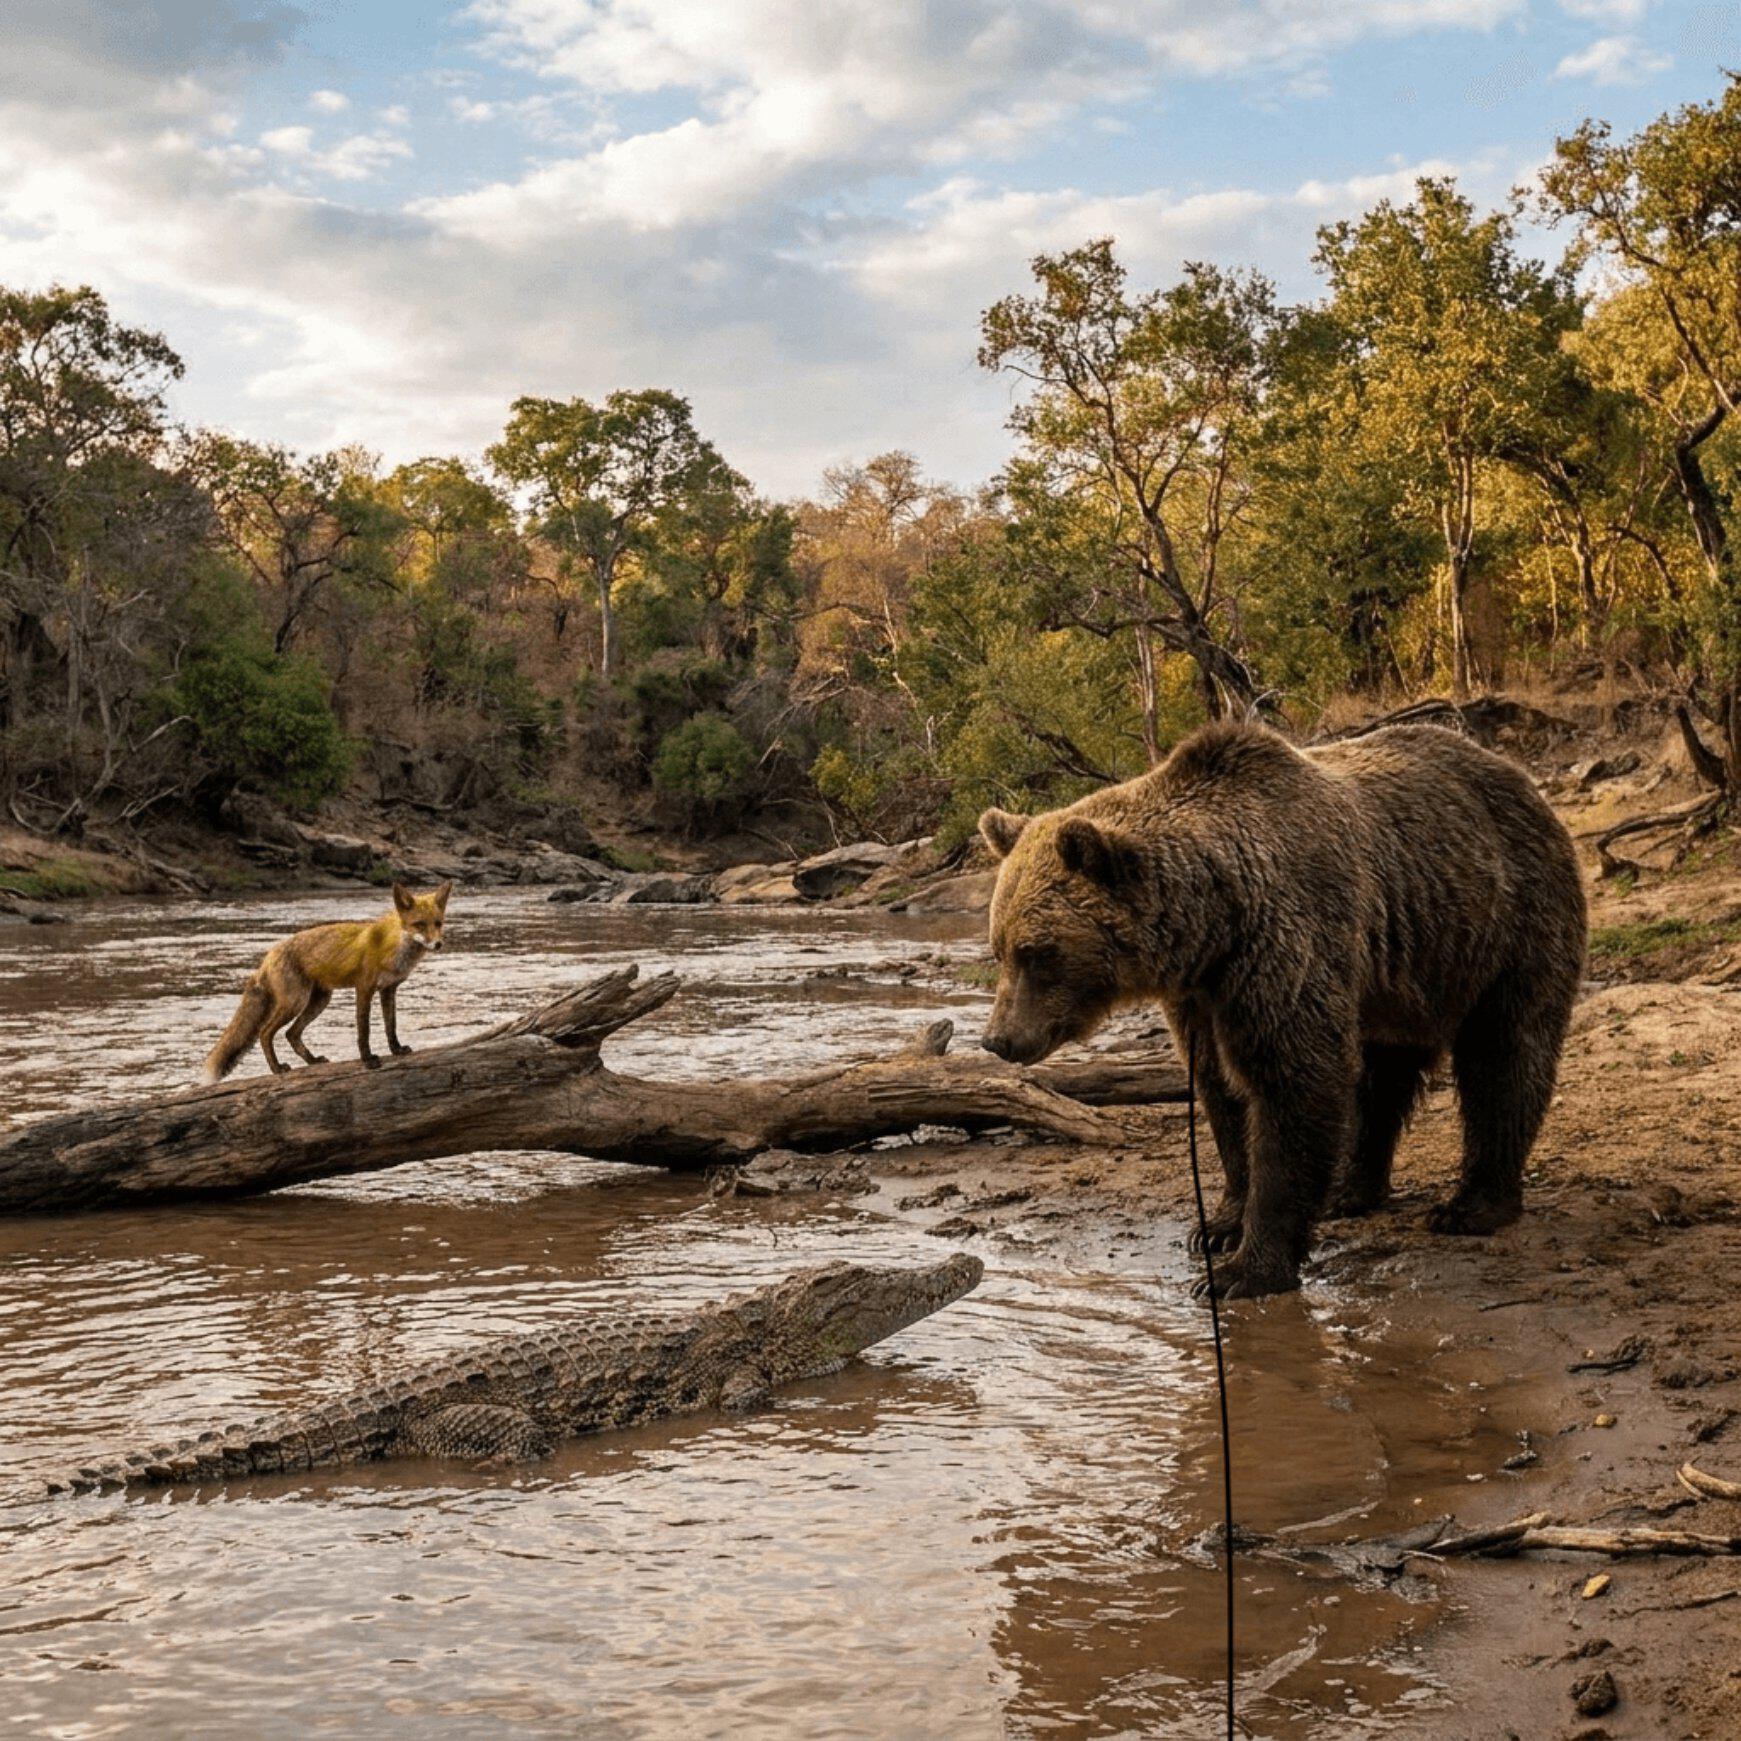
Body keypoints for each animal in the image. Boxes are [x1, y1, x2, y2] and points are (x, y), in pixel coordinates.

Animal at [200, 881, 452, 1084]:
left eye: (438, 923)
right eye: (419, 924)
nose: (438, 944)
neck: (392, 947)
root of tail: (268, 956)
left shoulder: (389, 990)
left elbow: (391, 1026)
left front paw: (397, 1049)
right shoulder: (364, 988)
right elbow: (364, 1030)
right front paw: (368, 1060)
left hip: (319, 1001)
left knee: (291, 1034)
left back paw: (312, 1061)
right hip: (295, 1002)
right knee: (265, 1033)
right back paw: (276, 1068)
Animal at [977, 720, 1587, 1299]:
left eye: (1038, 952)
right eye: (999, 948)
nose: (998, 1039)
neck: (1214, 924)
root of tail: (1521, 780)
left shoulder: (1283, 944)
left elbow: (1291, 1082)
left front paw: (1243, 1269)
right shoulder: (1201, 997)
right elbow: (1222, 1091)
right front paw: (1218, 1226)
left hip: (1505, 926)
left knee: (1503, 1056)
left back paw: (1472, 1205)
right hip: (1400, 978)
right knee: (1380, 1077)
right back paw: (1350, 1188)